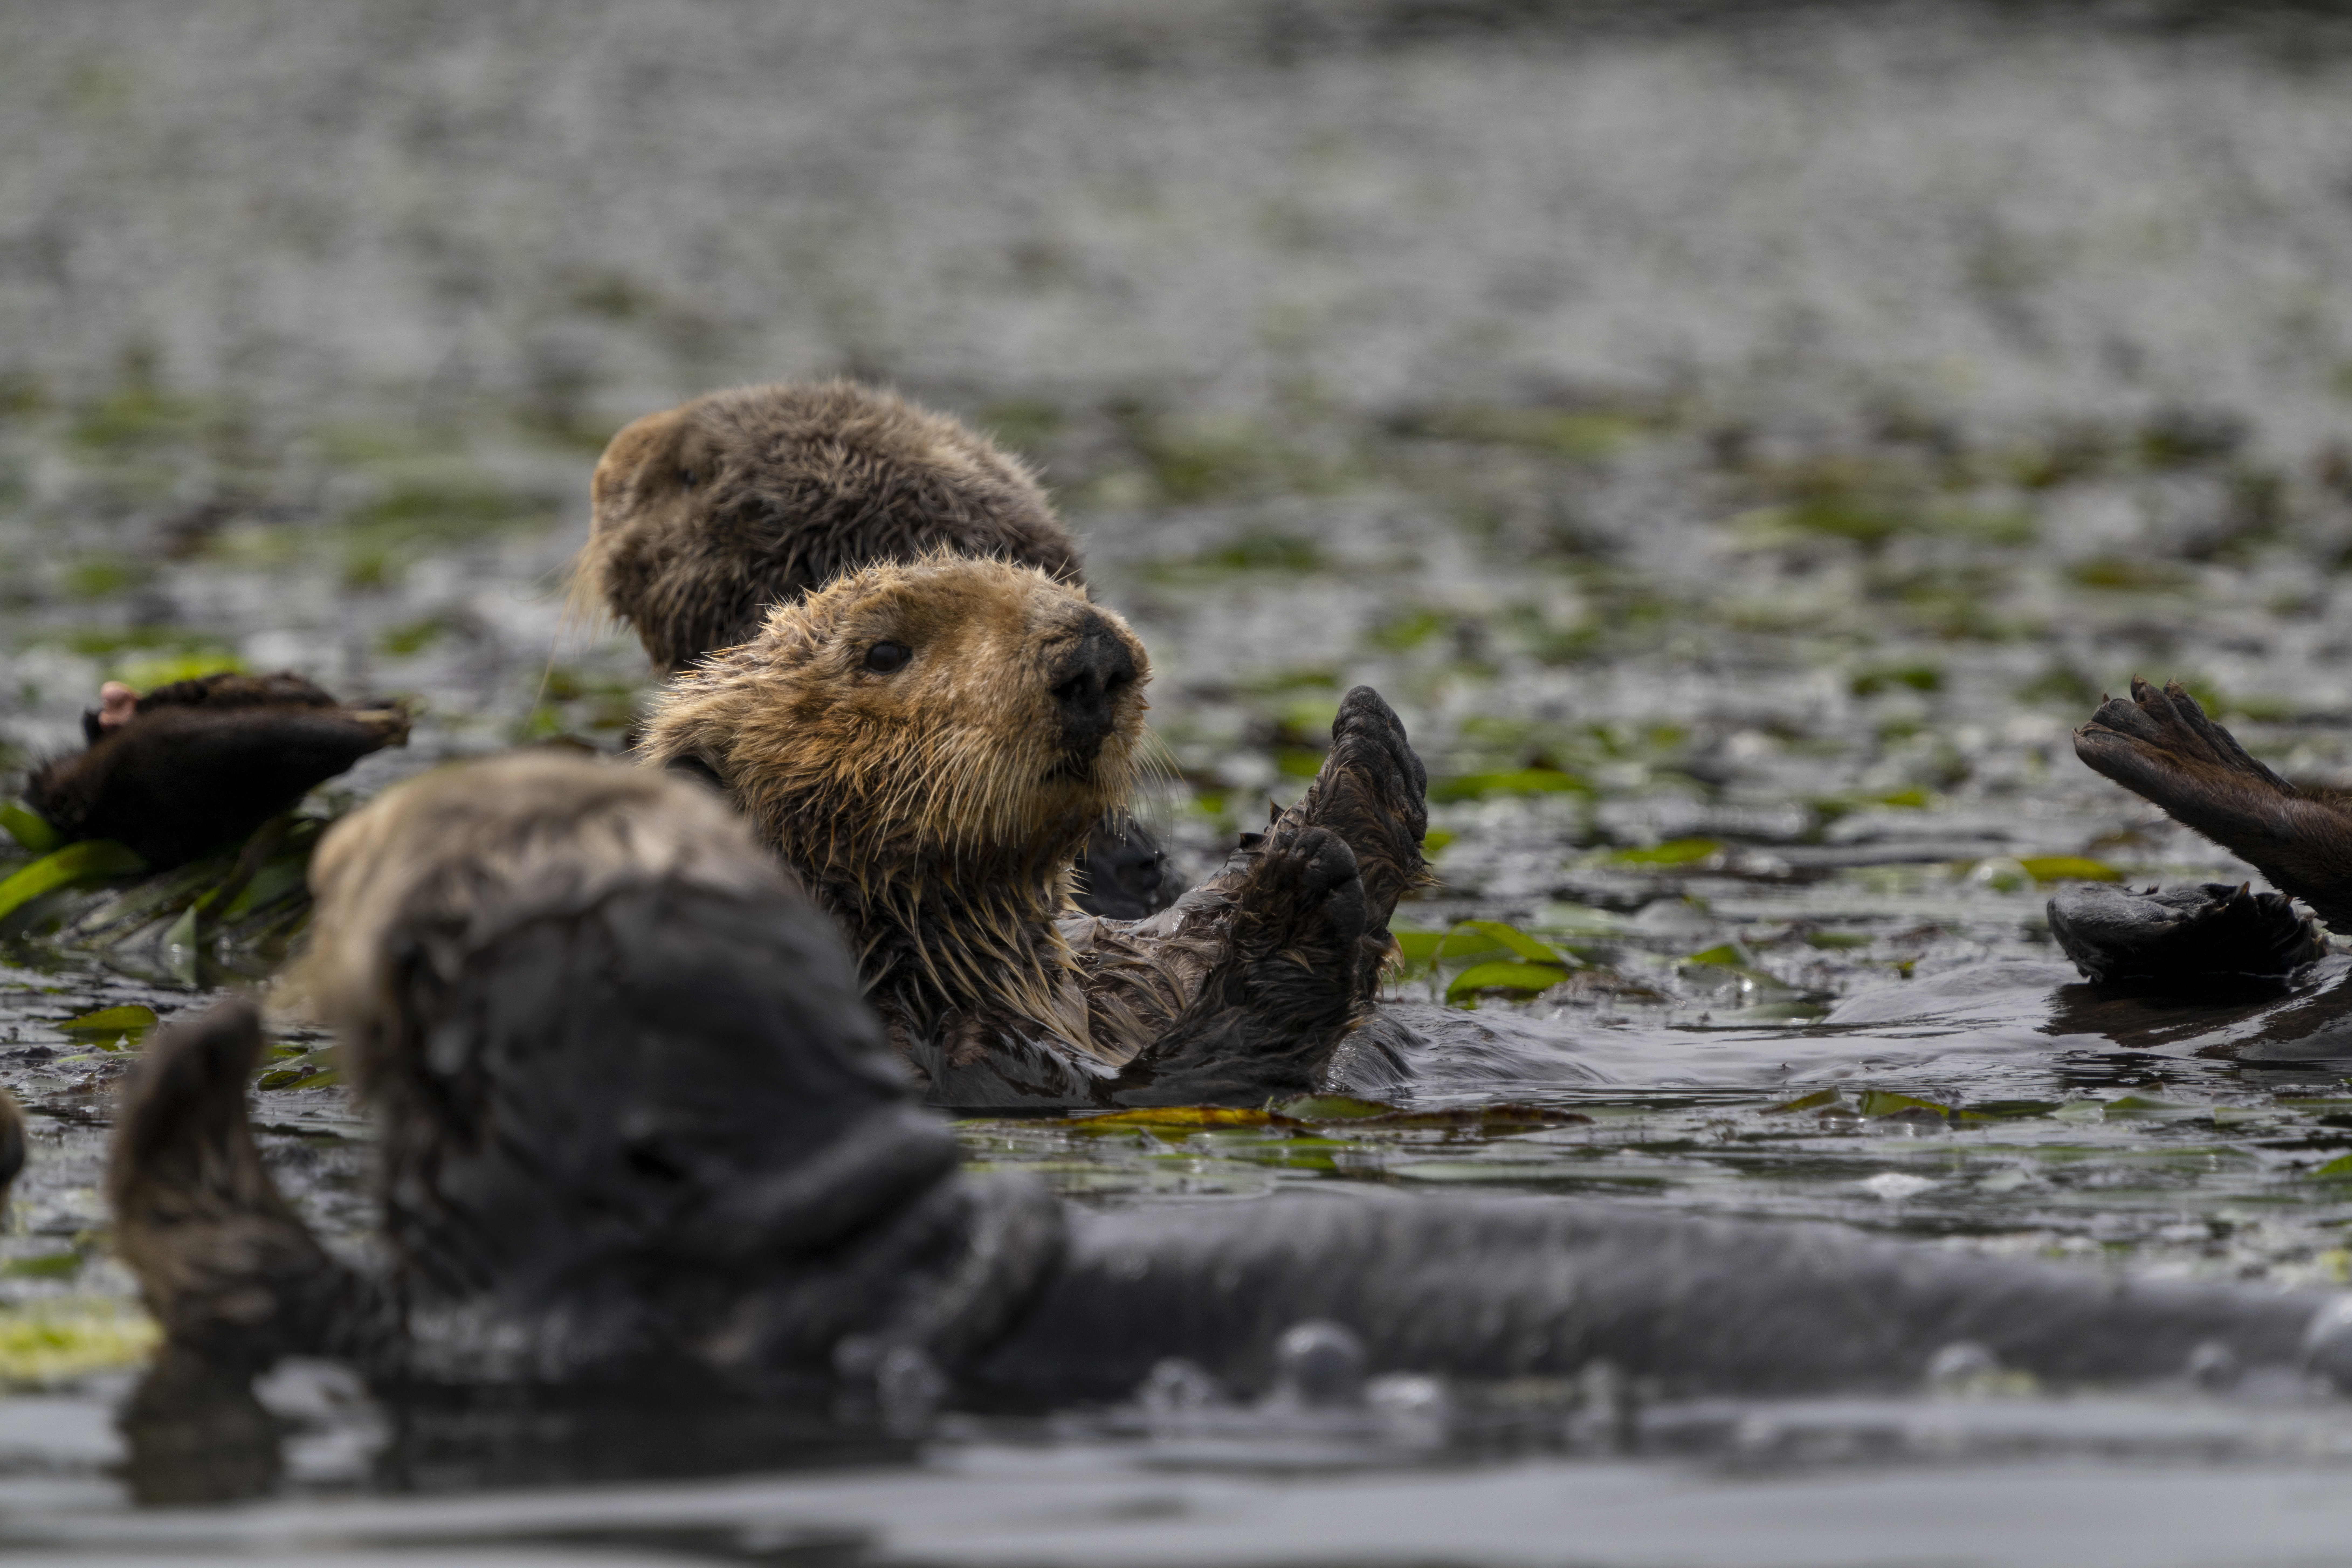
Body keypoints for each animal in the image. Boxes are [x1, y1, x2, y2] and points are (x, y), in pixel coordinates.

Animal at [638, 554, 1426, 1107]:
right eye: (884, 652)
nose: (1094, 658)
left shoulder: (1119, 980)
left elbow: (1172, 953)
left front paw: (1363, 752)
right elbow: (1169, 1083)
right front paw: (1298, 889)